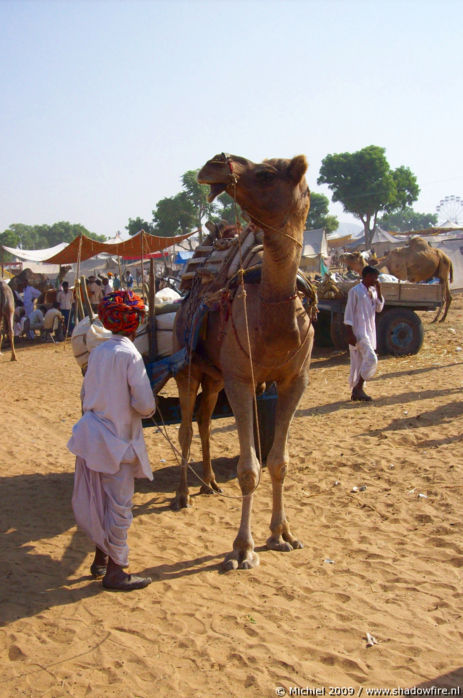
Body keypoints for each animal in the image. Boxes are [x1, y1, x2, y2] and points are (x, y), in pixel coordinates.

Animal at [174, 150, 316, 568]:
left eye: (267, 173)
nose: (214, 164)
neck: (274, 316)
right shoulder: (241, 379)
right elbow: (249, 468)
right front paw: (242, 549)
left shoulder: (295, 381)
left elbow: (279, 461)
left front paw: (282, 534)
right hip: (188, 367)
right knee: (186, 428)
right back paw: (183, 495)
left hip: (215, 375)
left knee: (204, 420)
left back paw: (209, 483)